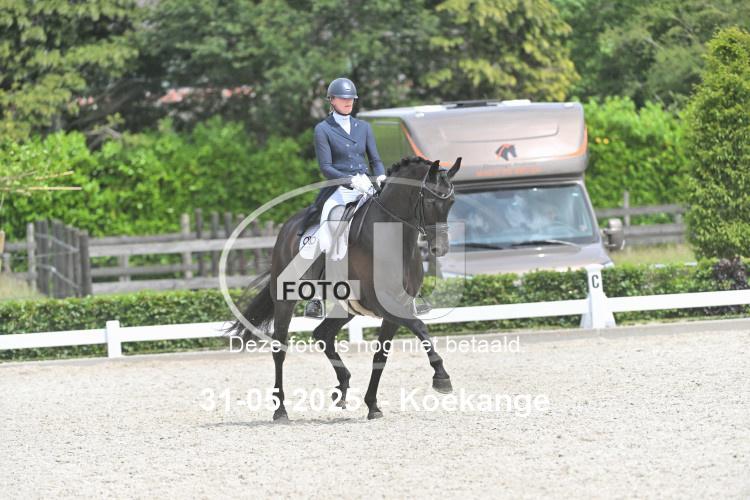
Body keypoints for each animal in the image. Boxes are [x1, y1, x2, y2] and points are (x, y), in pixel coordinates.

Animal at [226, 155, 461, 420]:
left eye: (451, 201)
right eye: (430, 201)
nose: (440, 249)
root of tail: (287, 228)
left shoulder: (395, 307)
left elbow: (381, 355)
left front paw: (372, 406)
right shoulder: (385, 303)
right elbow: (420, 327)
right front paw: (441, 377)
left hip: (347, 307)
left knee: (323, 335)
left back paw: (343, 385)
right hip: (285, 300)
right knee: (280, 348)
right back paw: (281, 411)